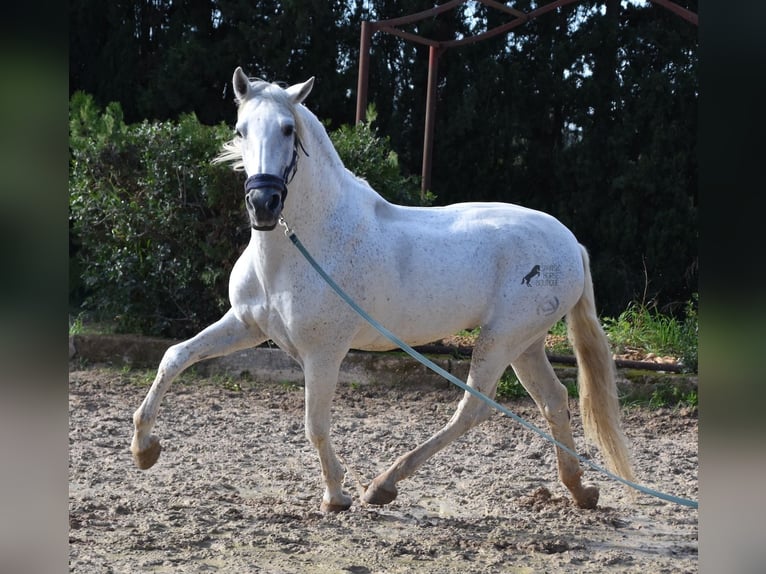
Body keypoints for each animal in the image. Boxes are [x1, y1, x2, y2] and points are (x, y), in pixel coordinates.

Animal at [132, 67, 636, 512]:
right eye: (240, 130)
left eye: (288, 129)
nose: (264, 203)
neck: (302, 246)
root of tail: (569, 240)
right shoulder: (246, 325)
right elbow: (175, 356)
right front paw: (144, 449)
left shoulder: (323, 352)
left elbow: (315, 424)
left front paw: (336, 496)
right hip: (525, 343)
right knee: (554, 399)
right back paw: (580, 490)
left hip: (502, 339)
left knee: (473, 409)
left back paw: (383, 485)